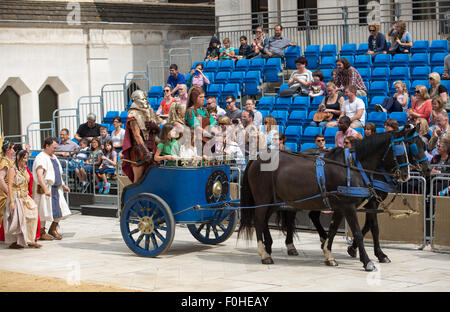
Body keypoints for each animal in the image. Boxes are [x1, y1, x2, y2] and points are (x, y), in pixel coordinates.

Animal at [239, 127, 414, 270]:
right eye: (399, 151)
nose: (406, 175)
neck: (353, 167)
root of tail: (257, 158)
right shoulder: (349, 206)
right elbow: (358, 232)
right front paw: (367, 261)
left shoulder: (341, 207)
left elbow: (334, 230)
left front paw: (329, 255)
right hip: (262, 200)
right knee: (259, 220)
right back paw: (264, 254)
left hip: (274, 201)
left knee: (265, 220)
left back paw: (268, 248)